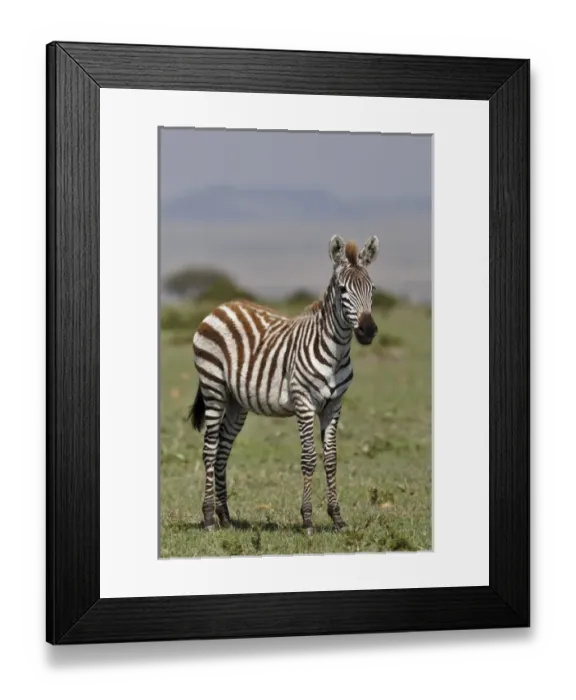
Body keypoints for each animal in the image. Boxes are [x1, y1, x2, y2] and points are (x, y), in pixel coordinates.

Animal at [189, 235, 379, 535]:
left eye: (372, 288)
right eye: (342, 290)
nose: (368, 330)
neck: (336, 352)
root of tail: (220, 307)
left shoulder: (334, 405)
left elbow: (331, 459)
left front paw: (337, 518)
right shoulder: (304, 402)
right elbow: (309, 458)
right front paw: (308, 520)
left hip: (235, 402)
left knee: (221, 452)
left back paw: (226, 518)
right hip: (214, 388)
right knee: (209, 449)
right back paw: (209, 519)